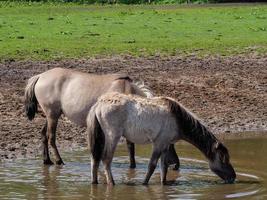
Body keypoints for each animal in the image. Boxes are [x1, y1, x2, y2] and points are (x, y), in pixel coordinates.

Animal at [24, 67, 180, 167]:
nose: (176, 164)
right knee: (51, 137)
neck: (126, 90)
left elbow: (130, 146)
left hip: (51, 115)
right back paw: (59, 161)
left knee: (43, 135)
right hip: (53, 115)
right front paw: (132, 166)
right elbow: (130, 145)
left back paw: (47, 161)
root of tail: (40, 76)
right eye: (170, 141)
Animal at [87, 93, 236, 185]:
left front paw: (164, 184)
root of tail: (98, 104)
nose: (233, 177)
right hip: (113, 136)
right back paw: (112, 183)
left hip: (101, 136)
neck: (178, 120)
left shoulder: (165, 145)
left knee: (95, 159)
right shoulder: (158, 143)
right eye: (223, 159)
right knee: (106, 159)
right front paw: (144, 183)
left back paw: (94, 182)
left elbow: (163, 167)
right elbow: (152, 166)